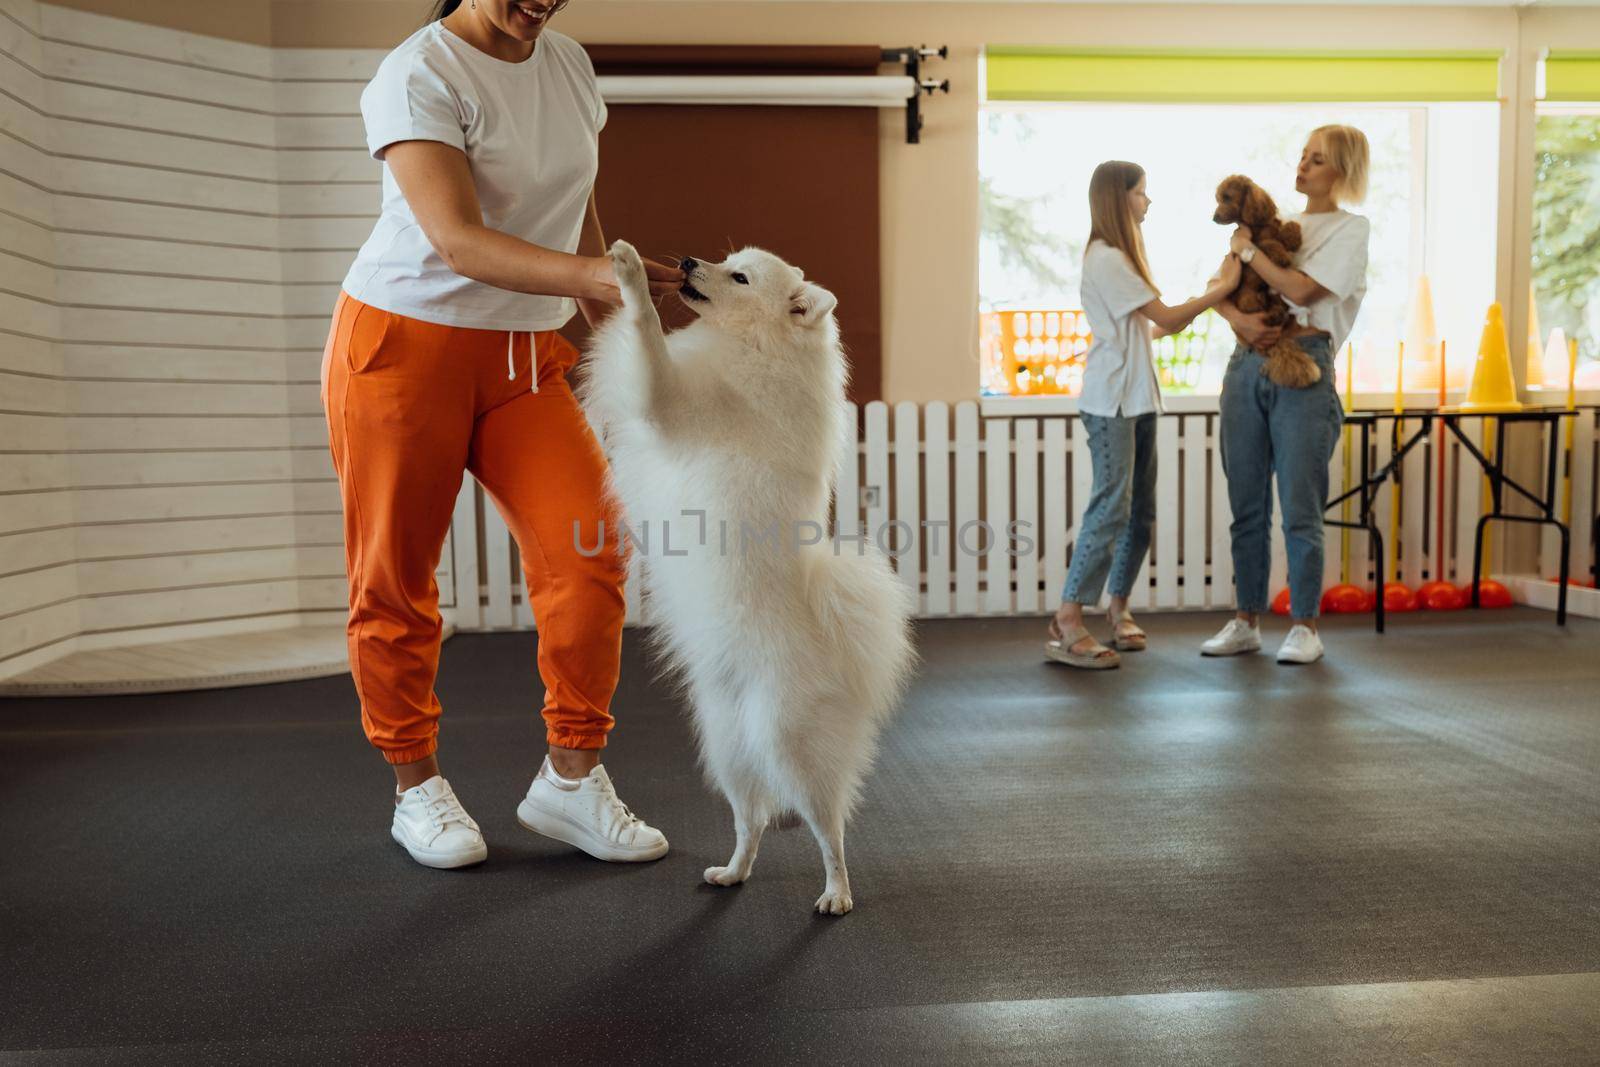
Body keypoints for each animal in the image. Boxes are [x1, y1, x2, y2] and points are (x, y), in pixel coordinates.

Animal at [582, 241, 921, 921]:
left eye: (739, 277)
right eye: (724, 257)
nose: (687, 261)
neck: (755, 345)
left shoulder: (669, 402)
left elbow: (647, 336)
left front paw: (630, 275)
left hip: (789, 744)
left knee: (827, 827)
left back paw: (836, 893)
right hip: (726, 748)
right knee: (753, 819)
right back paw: (732, 871)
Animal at [1216, 173, 1318, 390]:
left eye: (1227, 198)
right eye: (1218, 199)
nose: (1214, 217)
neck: (1259, 224)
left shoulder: (1275, 230)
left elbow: (1289, 228)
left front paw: (1293, 237)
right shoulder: (1258, 243)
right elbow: (1269, 243)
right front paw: (1282, 257)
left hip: (1278, 297)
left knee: (1278, 309)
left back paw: (1276, 315)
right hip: (1248, 300)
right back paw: (1270, 318)